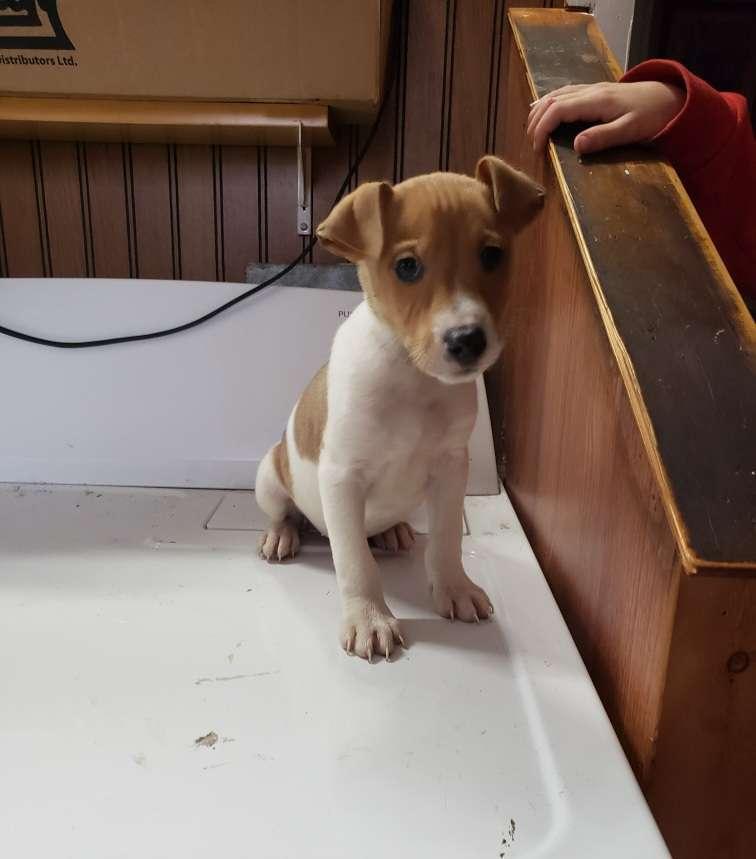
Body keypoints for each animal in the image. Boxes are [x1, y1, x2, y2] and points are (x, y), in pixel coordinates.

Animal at [255, 156, 544, 664]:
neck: (412, 377)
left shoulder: (451, 470)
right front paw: (370, 618)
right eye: (407, 267)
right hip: (269, 477)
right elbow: (356, 562)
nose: (467, 340)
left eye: (492, 255)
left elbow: (446, 542)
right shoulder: (342, 476)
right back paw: (282, 534)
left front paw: (454, 588)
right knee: (284, 513)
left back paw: (391, 531)